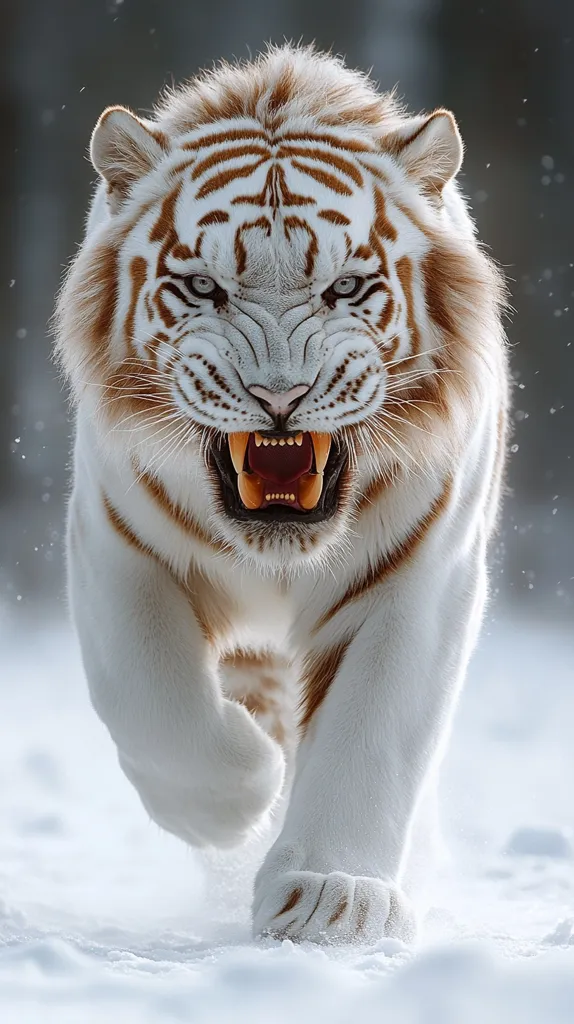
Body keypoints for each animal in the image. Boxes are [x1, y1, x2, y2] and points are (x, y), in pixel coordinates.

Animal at [54, 44, 508, 945]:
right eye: (202, 289)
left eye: (347, 289)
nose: (278, 397)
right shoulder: (117, 544)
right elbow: (156, 706)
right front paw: (237, 799)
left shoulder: (419, 574)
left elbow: (371, 735)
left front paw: (332, 898)